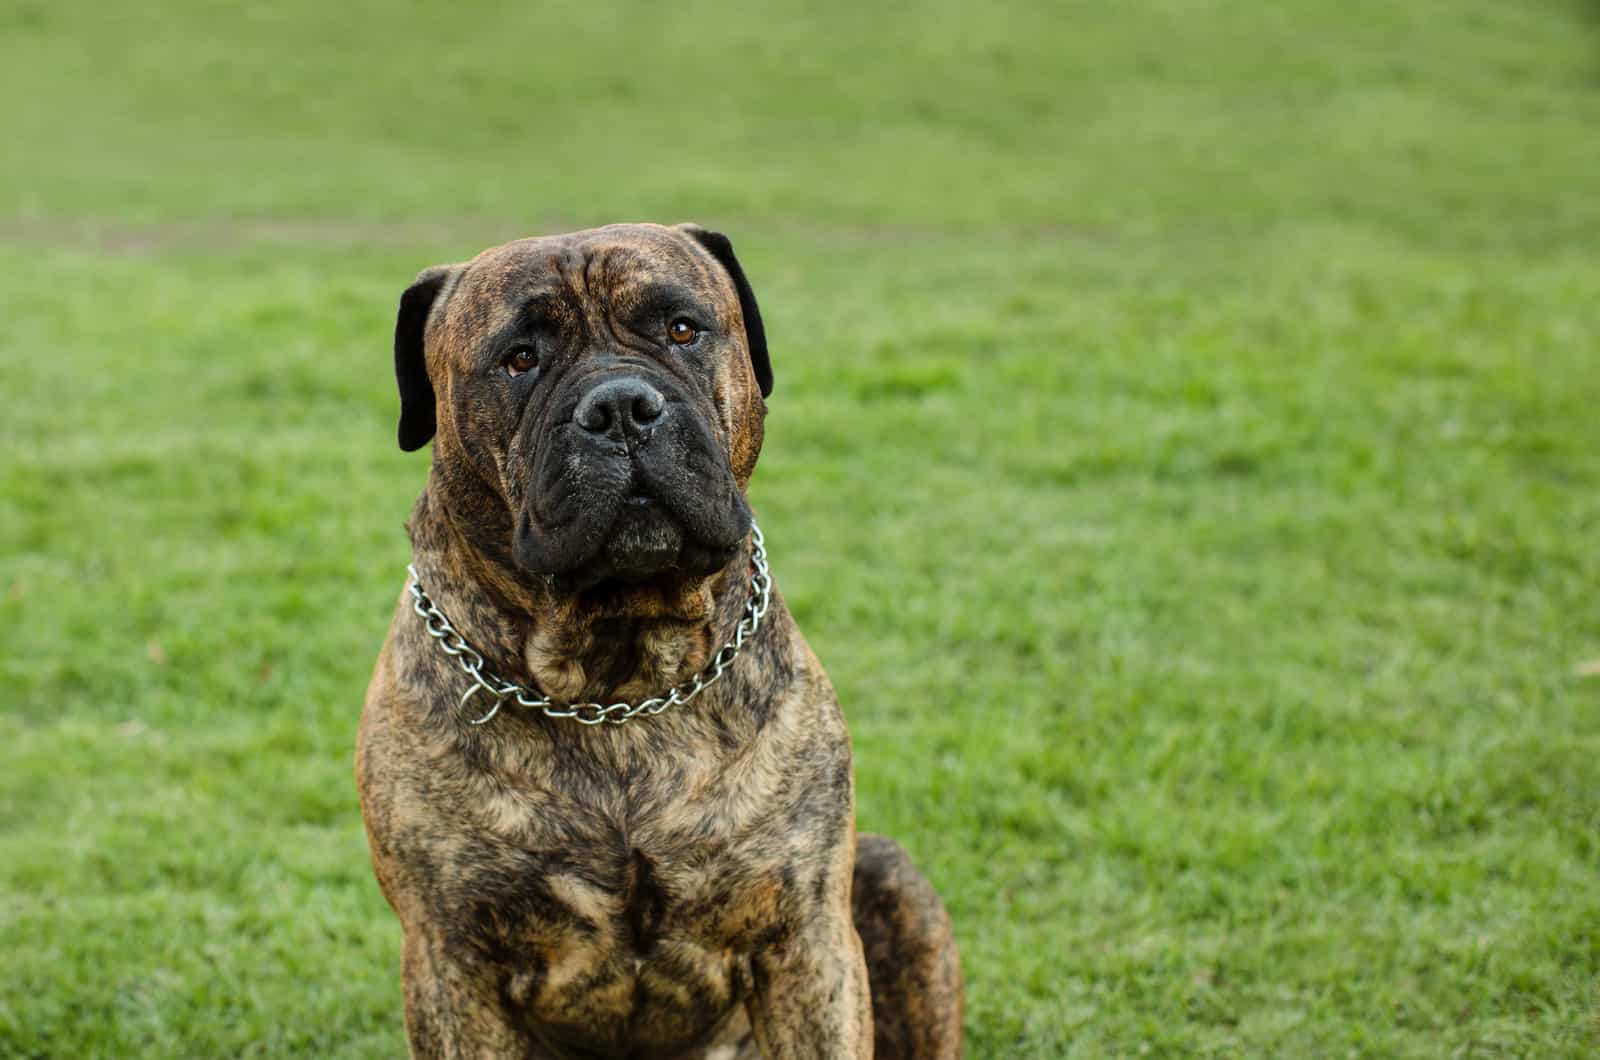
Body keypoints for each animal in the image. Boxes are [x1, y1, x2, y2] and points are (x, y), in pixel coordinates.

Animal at [360, 225, 960, 1060]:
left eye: (681, 329)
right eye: (520, 358)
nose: (620, 407)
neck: (619, 686)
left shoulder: (807, 940)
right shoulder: (452, 963)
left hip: (891, 877)